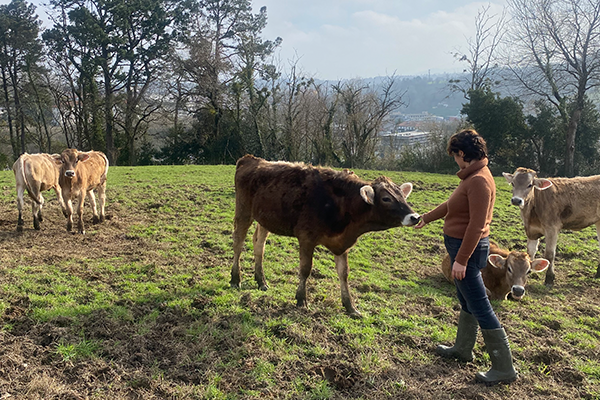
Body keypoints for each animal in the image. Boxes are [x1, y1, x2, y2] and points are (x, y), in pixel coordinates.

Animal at [232, 155, 420, 318]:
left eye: (402, 196)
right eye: (386, 198)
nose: (415, 217)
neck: (343, 204)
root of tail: (251, 159)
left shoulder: (342, 245)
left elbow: (343, 273)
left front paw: (350, 307)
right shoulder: (306, 238)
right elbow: (305, 269)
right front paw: (301, 300)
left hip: (265, 219)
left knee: (259, 246)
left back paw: (261, 281)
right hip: (243, 212)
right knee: (238, 243)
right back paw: (235, 279)